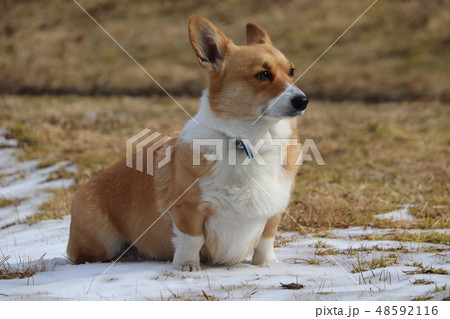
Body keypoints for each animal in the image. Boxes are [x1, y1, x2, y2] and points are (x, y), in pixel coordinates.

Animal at [67, 16, 308, 272]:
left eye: (291, 71)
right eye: (263, 74)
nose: (303, 101)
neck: (249, 143)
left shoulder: (274, 210)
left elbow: (266, 239)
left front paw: (266, 264)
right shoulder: (187, 209)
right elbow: (192, 239)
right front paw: (188, 265)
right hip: (101, 243)